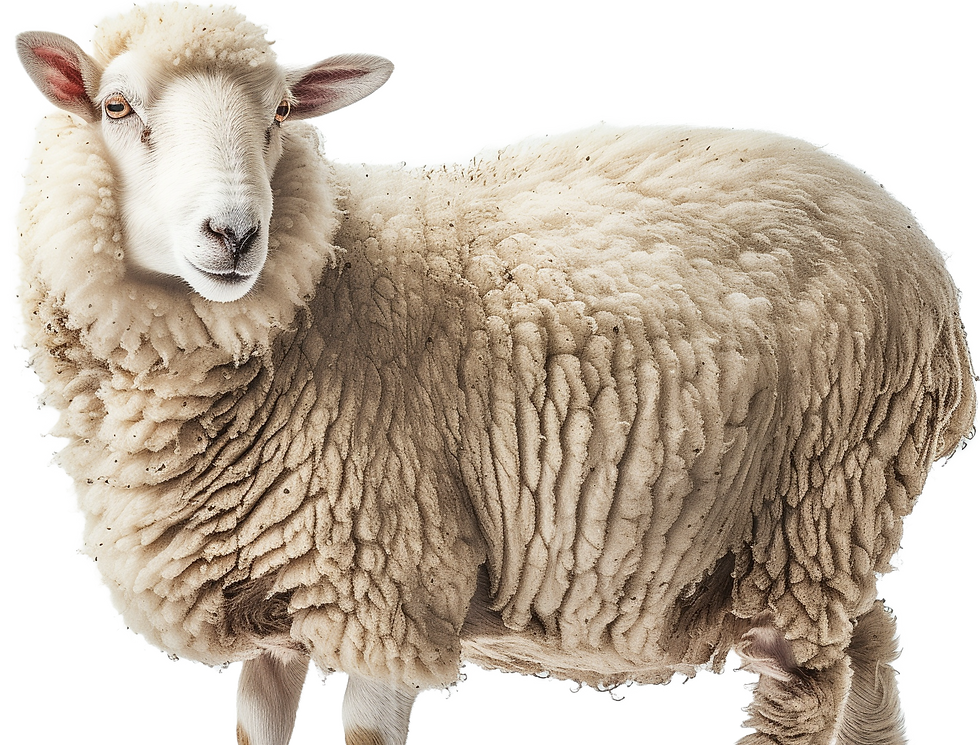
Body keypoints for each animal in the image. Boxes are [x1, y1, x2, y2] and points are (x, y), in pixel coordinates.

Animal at [7, 1, 977, 744]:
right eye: (117, 107)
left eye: (282, 111)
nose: (234, 234)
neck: (322, 285)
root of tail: (933, 270)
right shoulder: (271, 605)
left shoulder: (390, 576)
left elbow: (367, 727)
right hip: (830, 524)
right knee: (875, 644)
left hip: (818, 497)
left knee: (804, 683)